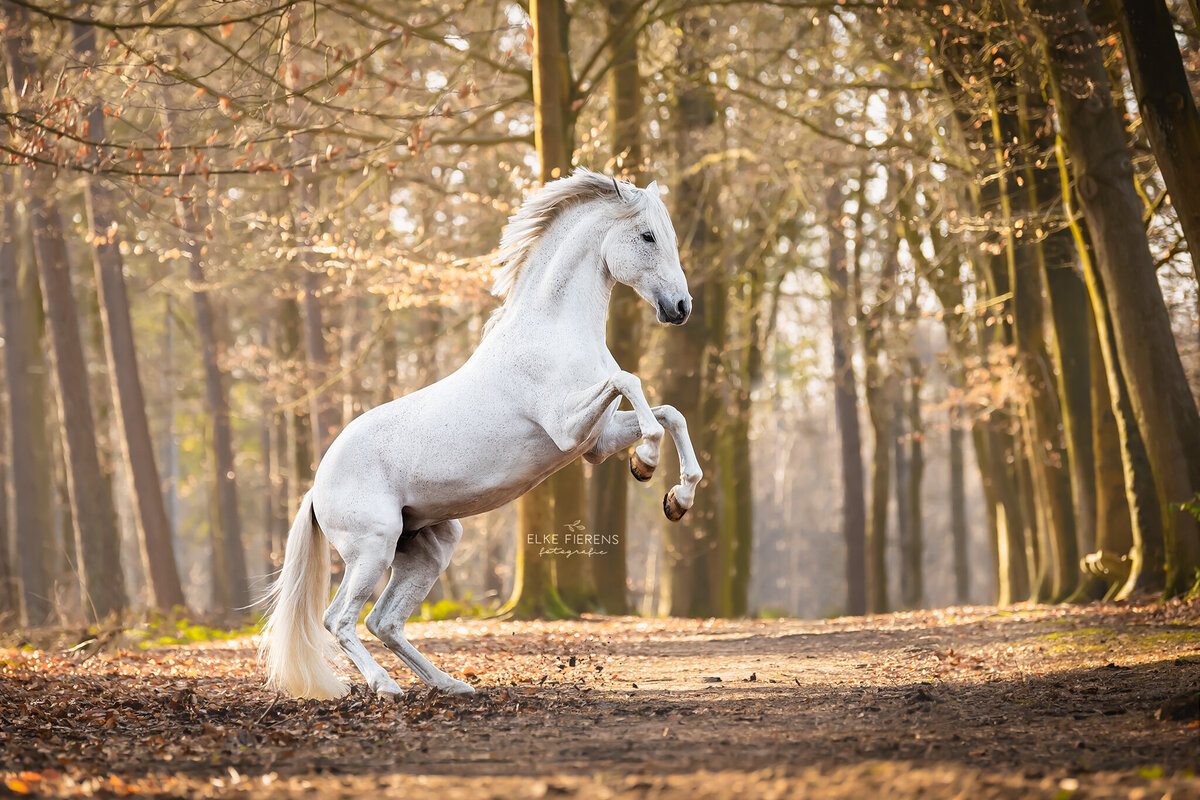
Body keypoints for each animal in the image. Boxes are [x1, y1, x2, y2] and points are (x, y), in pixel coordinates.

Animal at [258, 169, 700, 700]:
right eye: (648, 236)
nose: (681, 307)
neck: (551, 333)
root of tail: (315, 487)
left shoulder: (596, 442)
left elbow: (672, 414)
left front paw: (675, 497)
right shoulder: (568, 428)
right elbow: (631, 381)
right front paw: (649, 462)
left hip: (428, 548)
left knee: (384, 622)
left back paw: (450, 684)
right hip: (372, 547)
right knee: (339, 619)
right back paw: (386, 687)